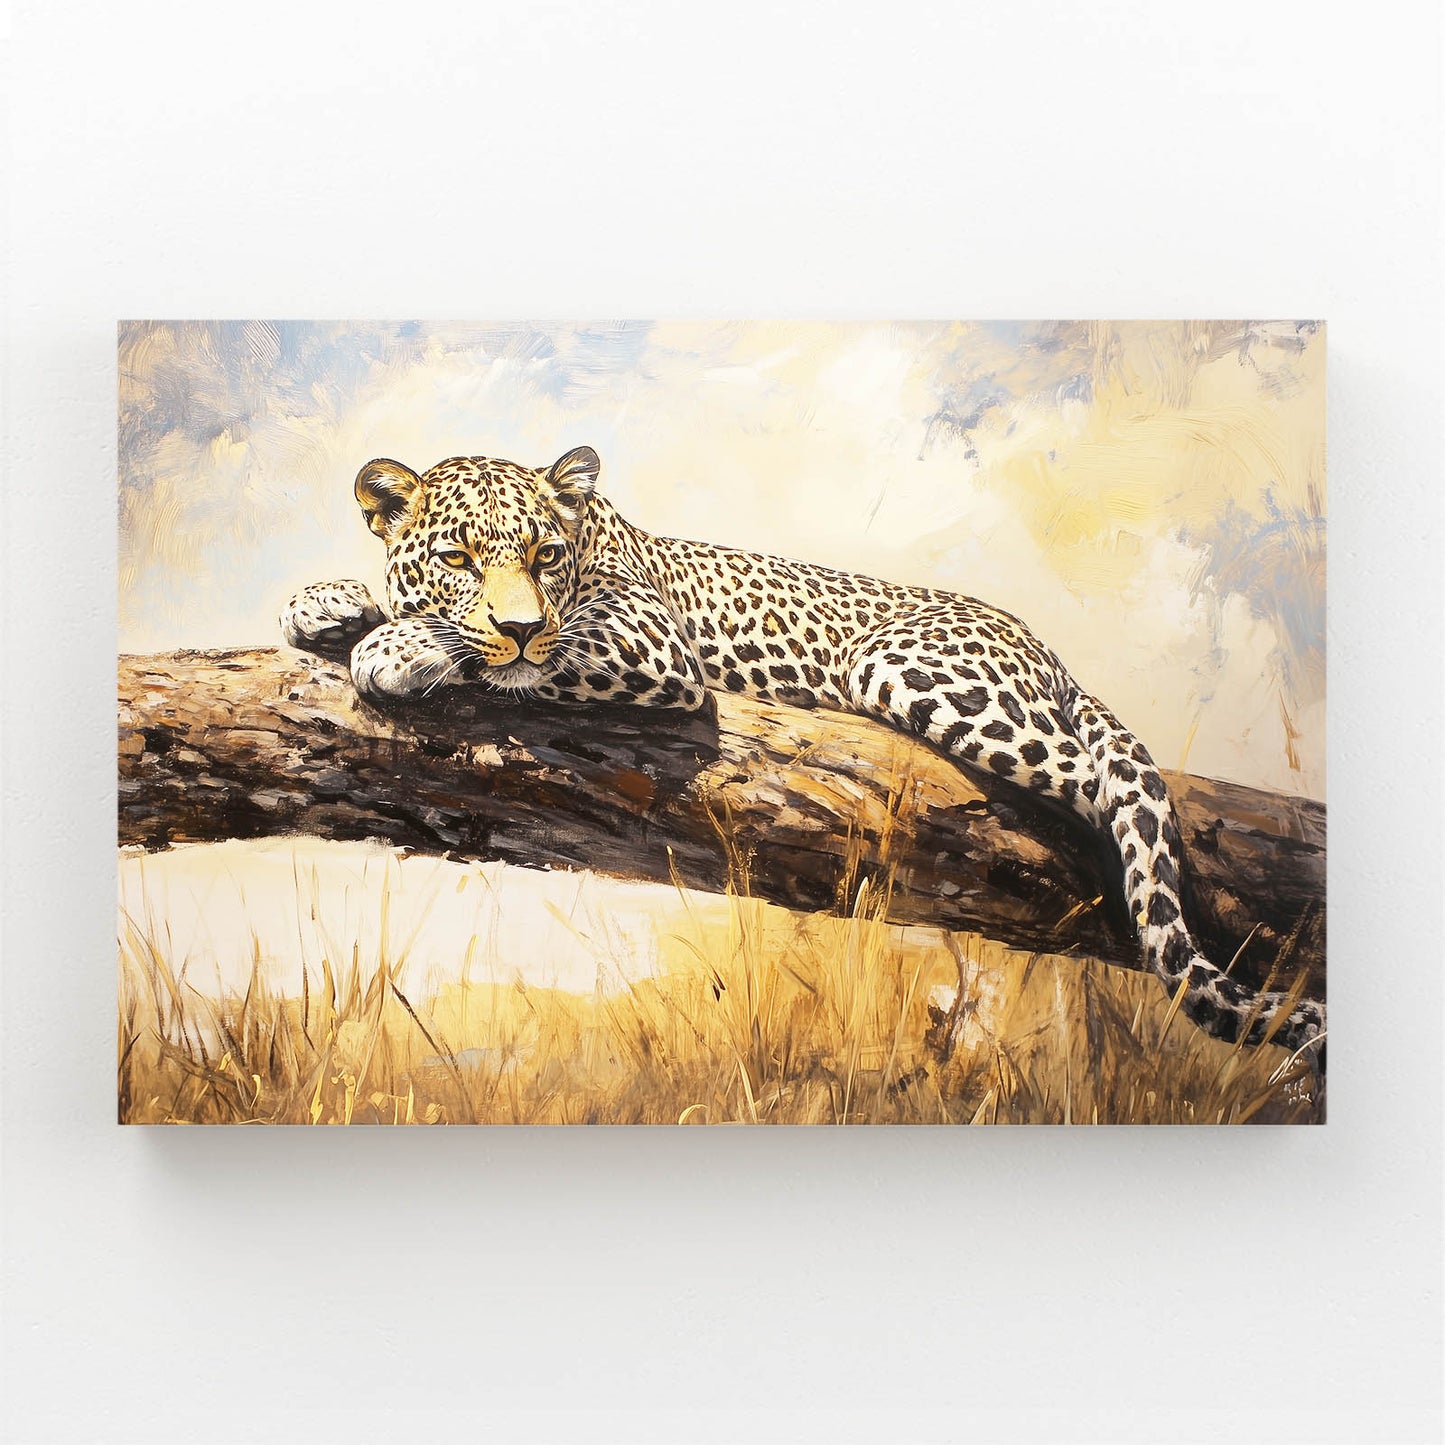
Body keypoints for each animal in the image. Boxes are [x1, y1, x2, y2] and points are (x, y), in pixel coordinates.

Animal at [281, 445, 1327, 1061]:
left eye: (543, 555)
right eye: (457, 557)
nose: (519, 622)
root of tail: (1043, 647)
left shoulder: (641, 640)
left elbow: (521, 660)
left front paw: (400, 646)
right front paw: (326, 601)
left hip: (910, 668)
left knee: (1106, 788)